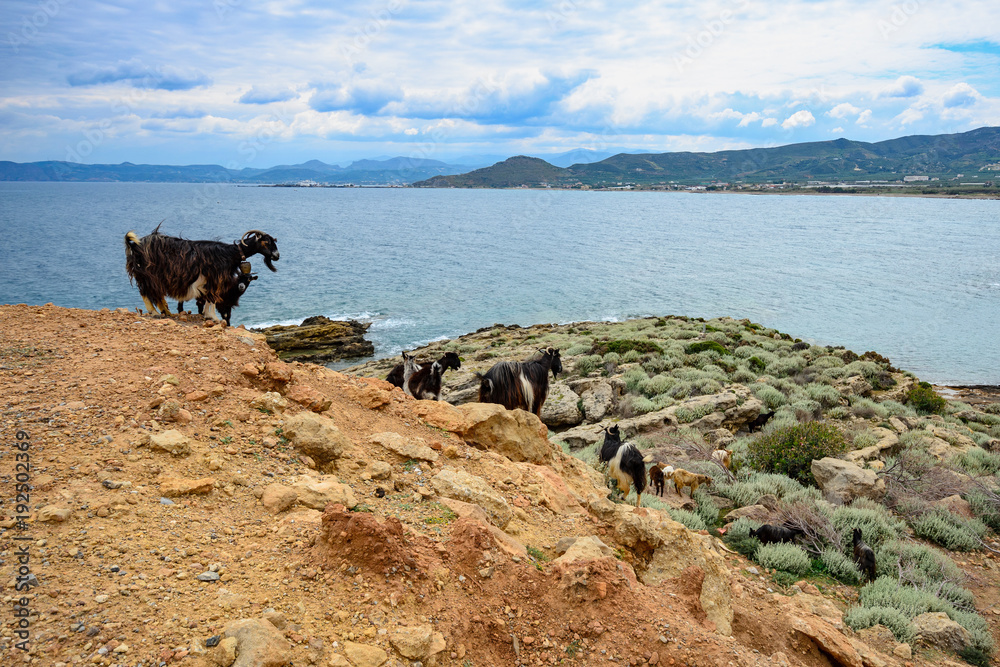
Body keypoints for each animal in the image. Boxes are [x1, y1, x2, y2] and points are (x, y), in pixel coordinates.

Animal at [127, 227, 282, 320]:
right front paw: (213, 317)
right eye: (266, 242)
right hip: (147, 274)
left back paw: (167, 312)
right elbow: (212, 298)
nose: (277, 256)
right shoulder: (216, 278)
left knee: (156, 294)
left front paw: (207, 315)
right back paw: (154, 312)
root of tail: (134, 245)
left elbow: (208, 298)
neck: (230, 253)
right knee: (145, 292)